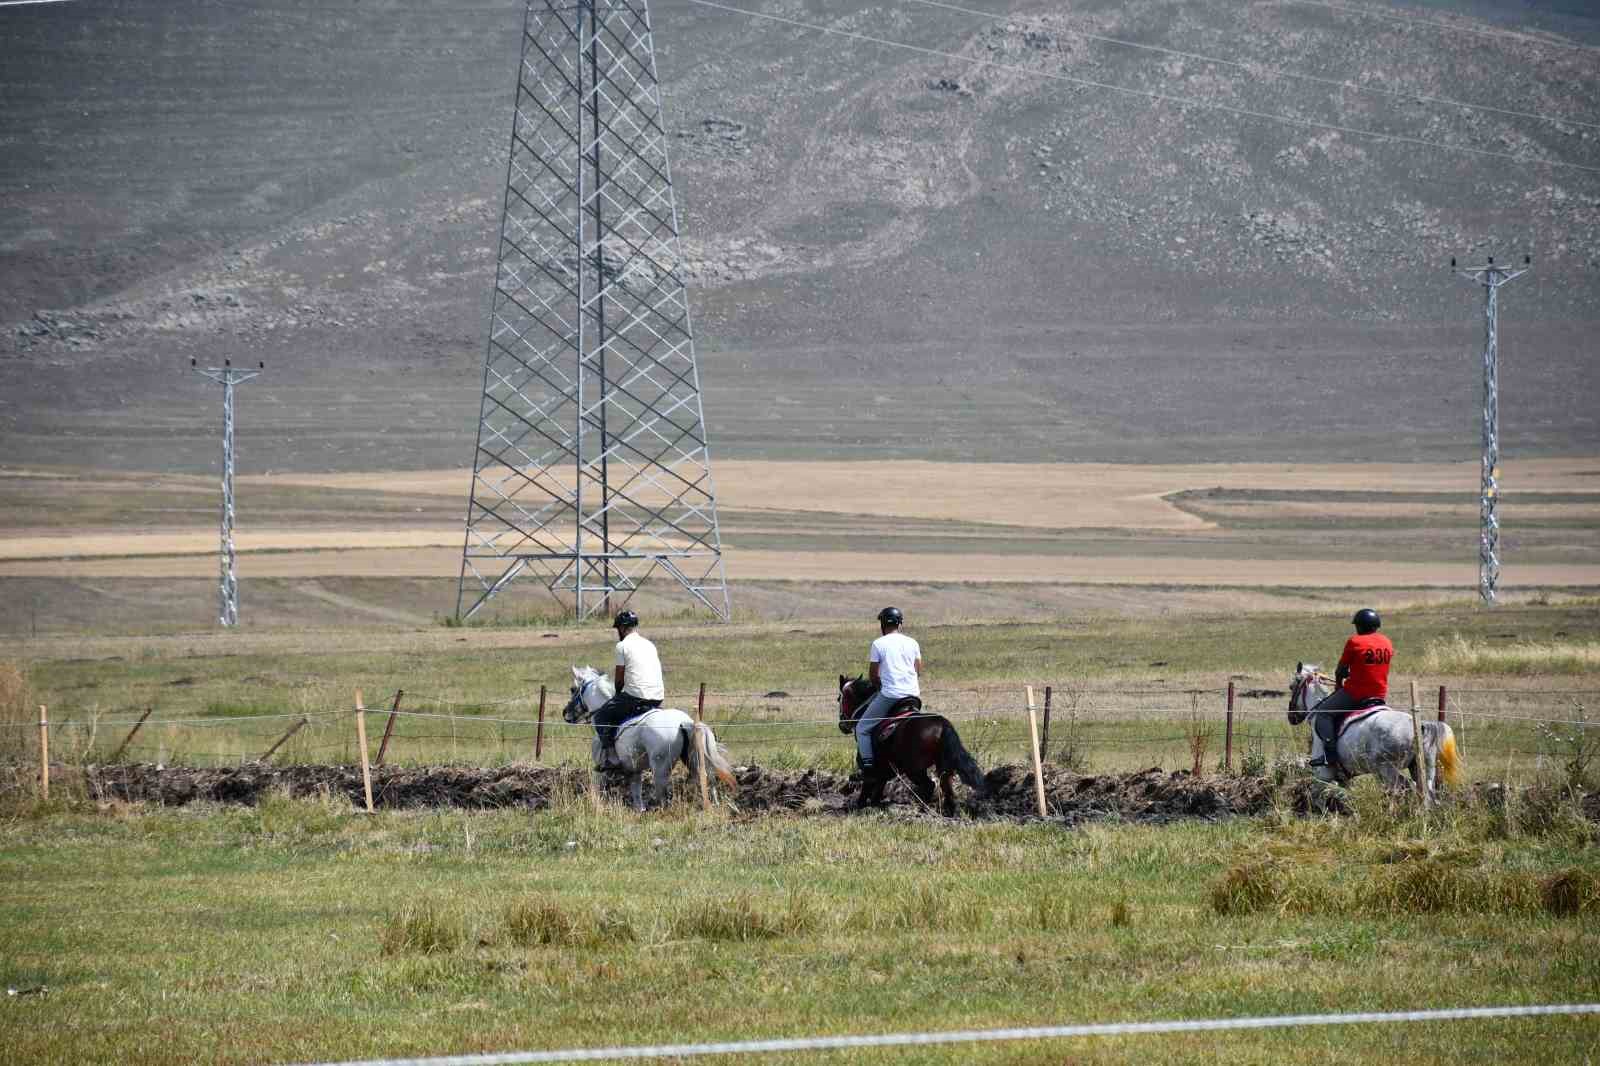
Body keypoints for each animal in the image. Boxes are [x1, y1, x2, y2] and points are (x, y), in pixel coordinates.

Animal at [563, 665, 736, 806]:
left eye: (572, 689)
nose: (565, 714)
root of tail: (685, 721)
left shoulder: (601, 770)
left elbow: (596, 788)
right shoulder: (634, 771)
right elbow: (637, 797)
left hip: (660, 768)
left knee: (663, 796)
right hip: (693, 760)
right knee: (706, 780)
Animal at [838, 672, 985, 813]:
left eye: (839, 699)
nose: (842, 725)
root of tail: (942, 724)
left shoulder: (875, 767)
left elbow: (867, 786)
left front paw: (860, 805)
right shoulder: (887, 768)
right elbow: (878, 787)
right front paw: (875, 804)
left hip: (914, 769)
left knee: (929, 785)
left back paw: (922, 807)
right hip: (942, 767)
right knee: (946, 788)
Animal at [1286, 659, 1465, 800]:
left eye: (1291, 687)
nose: (1291, 717)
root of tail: (1420, 727)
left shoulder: (1323, 775)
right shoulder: (1343, 779)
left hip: (1387, 770)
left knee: (1406, 788)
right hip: (1422, 768)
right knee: (1425, 793)